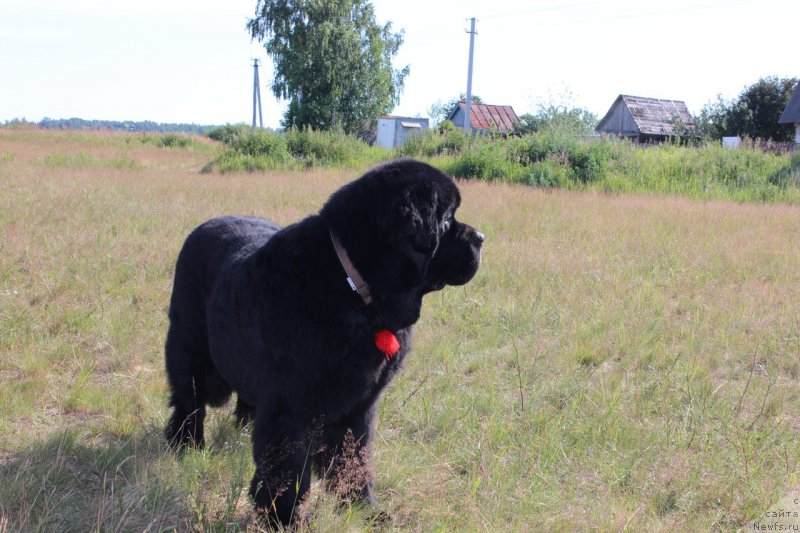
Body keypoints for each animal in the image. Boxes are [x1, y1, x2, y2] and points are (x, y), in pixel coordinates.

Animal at [162, 158, 482, 524]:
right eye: (447, 219)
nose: (481, 238)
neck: (353, 287)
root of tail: (202, 226)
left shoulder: (359, 404)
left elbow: (354, 457)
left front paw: (363, 508)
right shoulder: (290, 408)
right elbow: (288, 471)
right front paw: (283, 518)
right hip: (189, 349)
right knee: (189, 401)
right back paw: (186, 445)